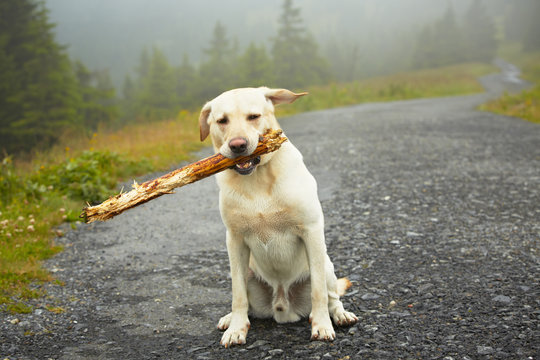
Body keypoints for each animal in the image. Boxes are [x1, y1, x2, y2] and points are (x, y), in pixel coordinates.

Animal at [198, 86, 358, 348]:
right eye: (222, 121)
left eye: (254, 116)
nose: (238, 145)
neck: (257, 178)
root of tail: (282, 307)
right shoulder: (234, 240)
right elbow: (237, 294)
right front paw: (236, 329)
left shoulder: (311, 230)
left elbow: (319, 293)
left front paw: (322, 326)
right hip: (248, 271)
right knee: (246, 300)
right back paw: (230, 318)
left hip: (326, 264)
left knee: (332, 295)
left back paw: (340, 314)